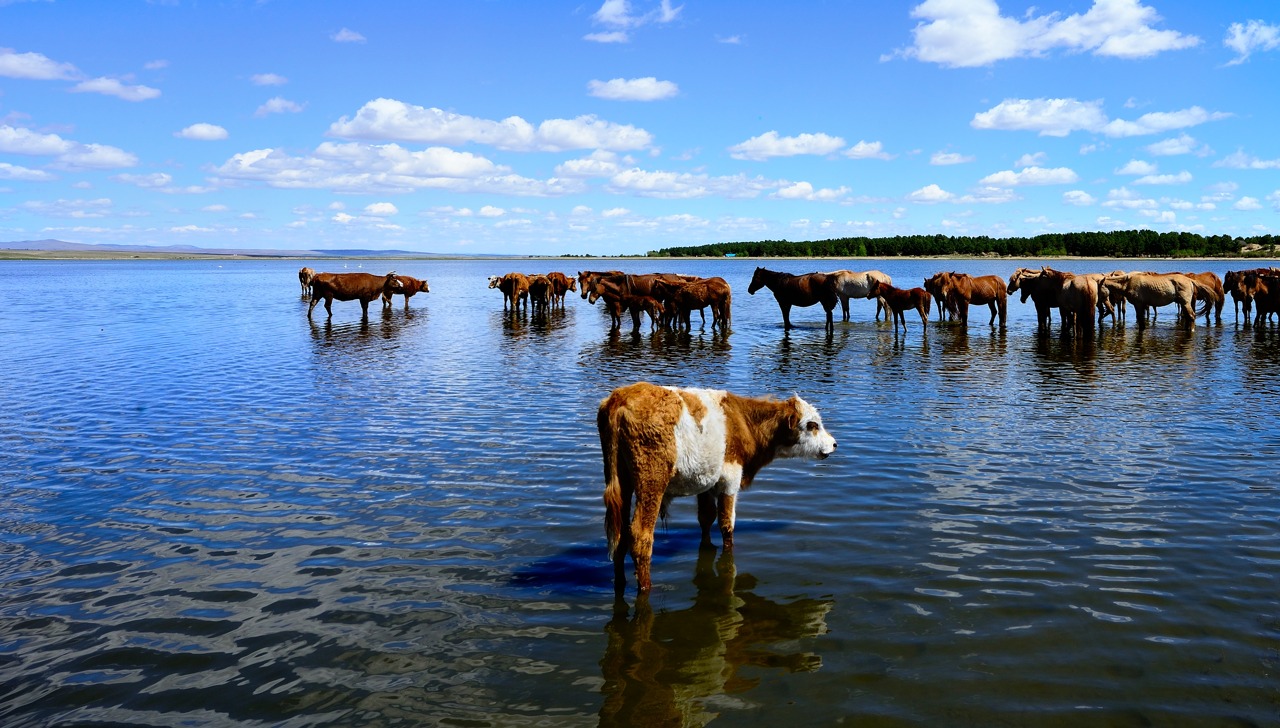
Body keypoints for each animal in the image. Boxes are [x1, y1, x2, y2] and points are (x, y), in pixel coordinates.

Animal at [599, 381, 839, 591]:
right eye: (812, 425)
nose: (834, 443)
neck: (743, 421)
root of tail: (621, 397)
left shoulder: (706, 482)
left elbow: (706, 518)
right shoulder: (730, 477)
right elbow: (727, 524)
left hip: (621, 481)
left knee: (619, 535)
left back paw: (620, 583)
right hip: (651, 482)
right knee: (640, 536)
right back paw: (645, 588)